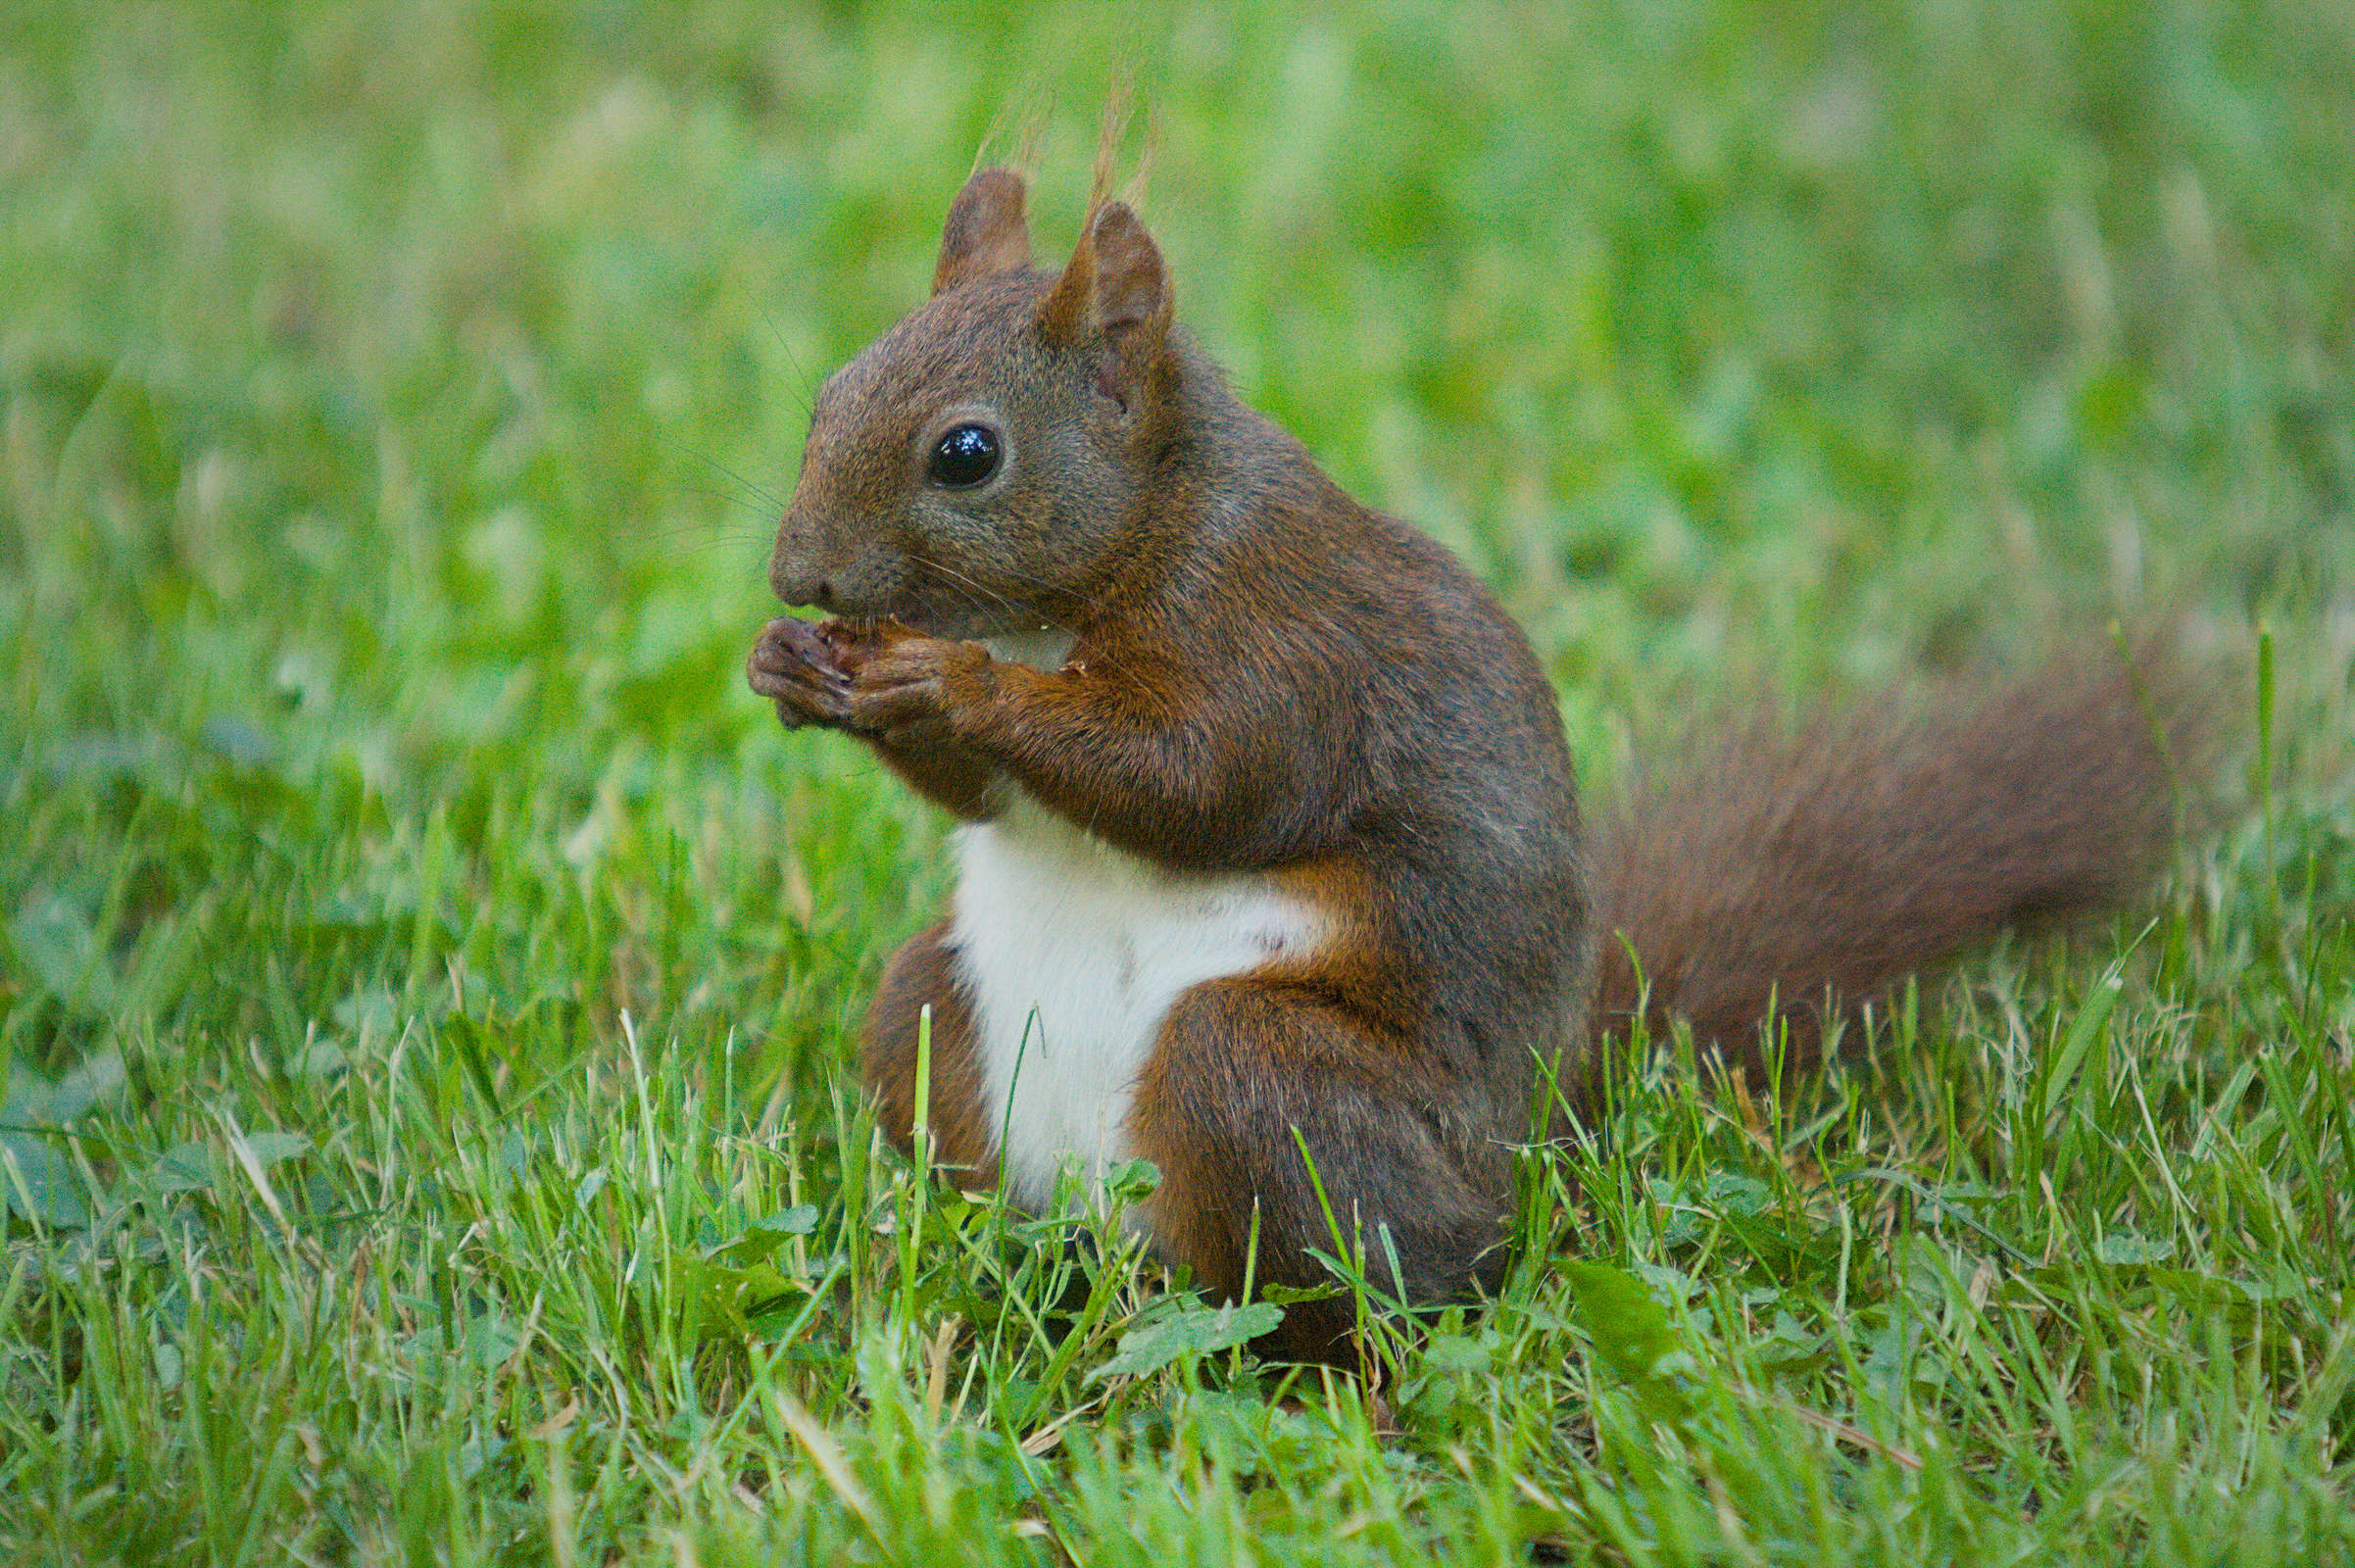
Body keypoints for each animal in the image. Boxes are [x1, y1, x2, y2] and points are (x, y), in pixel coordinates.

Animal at [745, 165, 2196, 1363]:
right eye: (823, 396)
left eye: (967, 454)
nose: (795, 575)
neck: (1099, 571)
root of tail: (1530, 1139)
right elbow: (993, 795)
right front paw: (798, 667)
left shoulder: (1284, 647)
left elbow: (1202, 780)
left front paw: (957, 683)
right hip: (936, 1021)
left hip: (1273, 1087)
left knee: (1386, 1279)